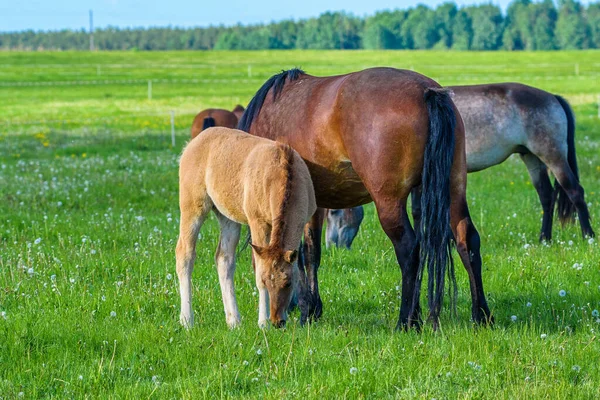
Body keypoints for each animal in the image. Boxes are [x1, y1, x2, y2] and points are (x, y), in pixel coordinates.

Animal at [176, 127, 316, 328]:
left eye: (288, 283)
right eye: (266, 282)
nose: (277, 321)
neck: (282, 173)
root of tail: (193, 143)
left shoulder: (304, 221)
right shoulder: (257, 222)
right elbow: (258, 269)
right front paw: (263, 322)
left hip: (228, 217)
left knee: (224, 259)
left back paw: (234, 320)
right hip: (193, 207)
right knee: (185, 254)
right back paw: (187, 320)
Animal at [237, 67, 490, 330]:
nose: (278, 317)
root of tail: (426, 91)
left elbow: (302, 255)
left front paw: (307, 310)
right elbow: (312, 252)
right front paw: (313, 309)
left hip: (389, 203)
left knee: (409, 248)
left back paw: (405, 321)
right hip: (453, 189)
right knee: (467, 240)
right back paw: (480, 315)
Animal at [326, 81, 592, 248]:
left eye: (335, 213)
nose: (331, 246)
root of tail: (552, 97)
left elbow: (420, 211)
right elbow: (419, 211)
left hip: (553, 156)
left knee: (574, 191)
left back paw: (588, 236)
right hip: (531, 158)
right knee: (546, 196)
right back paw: (544, 239)